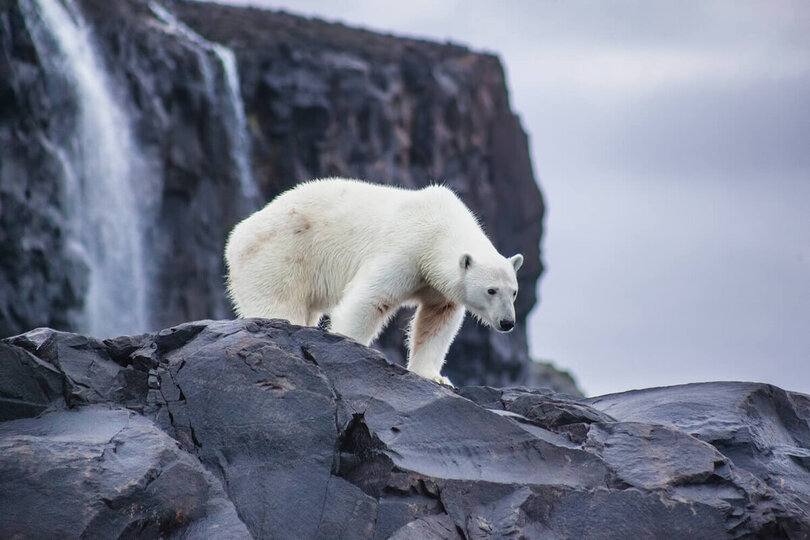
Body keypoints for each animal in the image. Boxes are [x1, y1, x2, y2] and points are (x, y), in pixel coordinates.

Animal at [224, 179, 520, 386]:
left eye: (514, 292)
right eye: (491, 290)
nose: (507, 322)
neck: (438, 228)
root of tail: (237, 234)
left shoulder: (437, 285)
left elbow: (437, 321)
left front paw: (435, 376)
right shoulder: (405, 250)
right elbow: (368, 299)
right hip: (280, 255)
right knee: (278, 300)